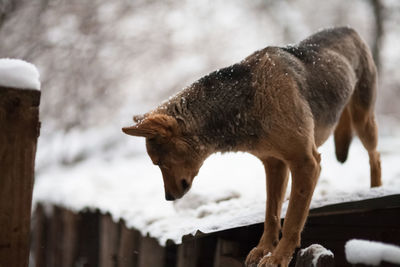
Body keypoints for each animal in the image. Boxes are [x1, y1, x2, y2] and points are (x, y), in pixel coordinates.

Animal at [122, 27, 382, 267]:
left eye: (159, 163)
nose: (168, 198)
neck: (247, 102)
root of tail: (349, 29)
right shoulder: (275, 165)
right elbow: (272, 214)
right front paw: (264, 249)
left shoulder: (306, 162)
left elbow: (293, 220)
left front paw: (279, 257)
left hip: (363, 121)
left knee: (375, 156)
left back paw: (376, 189)